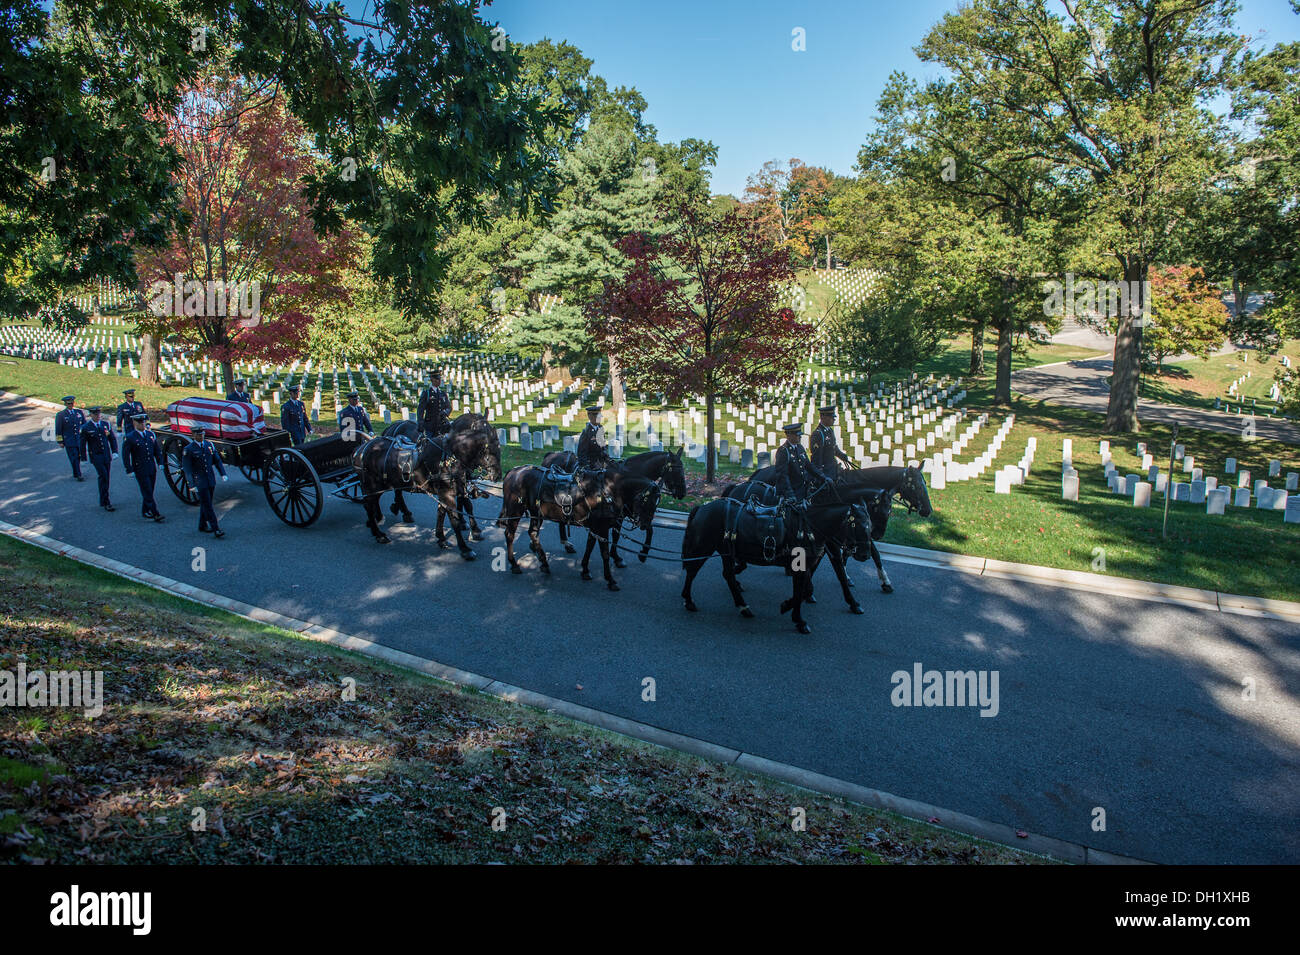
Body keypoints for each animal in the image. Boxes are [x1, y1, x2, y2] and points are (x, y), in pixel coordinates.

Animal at [361, 410, 501, 553]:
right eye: (490, 448)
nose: (497, 475)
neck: (450, 455)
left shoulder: (459, 483)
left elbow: (459, 505)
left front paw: (459, 528)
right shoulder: (451, 488)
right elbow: (463, 505)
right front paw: (471, 530)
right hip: (374, 484)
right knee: (372, 503)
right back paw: (385, 525)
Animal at [540, 449, 691, 566]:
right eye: (676, 471)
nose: (682, 493)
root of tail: (550, 455)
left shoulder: (634, 513)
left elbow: (649, 529)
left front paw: (643, 553)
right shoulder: (622, 515)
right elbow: (617, 535)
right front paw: (617, 557)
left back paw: (566, 544)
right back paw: (566, 543)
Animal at [681, 493, 873, 634]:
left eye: (869, 526)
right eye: (856, 525)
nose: (865, 555)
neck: (810, 526)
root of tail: (702, 507)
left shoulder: (807, 565)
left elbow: (805, 590)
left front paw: (789, 608)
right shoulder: (799, 567)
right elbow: (800, 592)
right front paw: (798, 619)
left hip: (726, 551)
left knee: (727, 575)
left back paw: (743, 607)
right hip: (704, 547)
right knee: (692, 571)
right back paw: (688, 600)